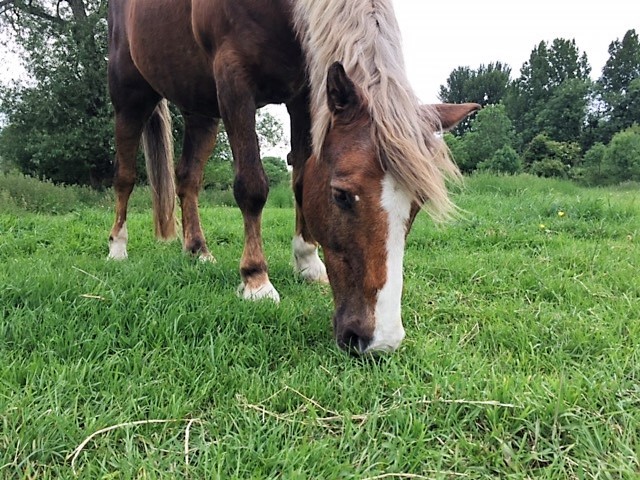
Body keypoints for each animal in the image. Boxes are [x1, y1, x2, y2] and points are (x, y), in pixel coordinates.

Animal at [106, 0, 476, 352]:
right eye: (341, 194)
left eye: (418, 203)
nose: (379, 341)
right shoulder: (233, 78)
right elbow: (252, 186)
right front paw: (256, 280)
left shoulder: (306, 91)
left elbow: (300, 179)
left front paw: (307, 261)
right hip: (130, 94)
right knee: (125, 176)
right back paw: (117, 248)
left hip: (200, 106)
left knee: (187, 179)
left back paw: (198, 251)